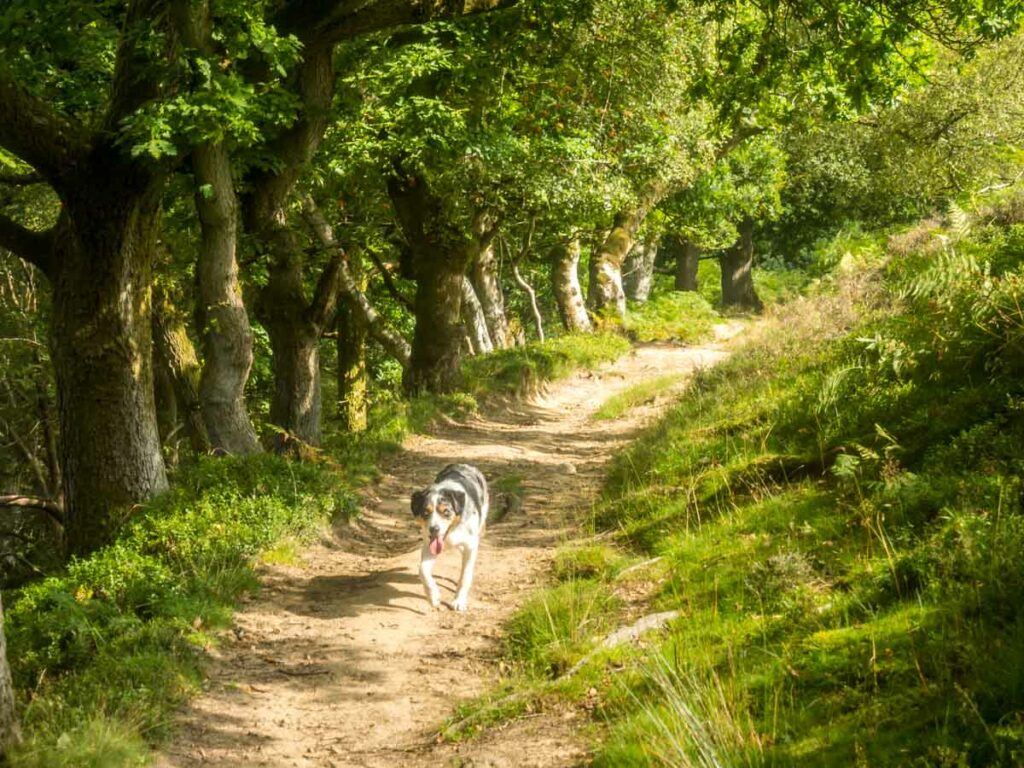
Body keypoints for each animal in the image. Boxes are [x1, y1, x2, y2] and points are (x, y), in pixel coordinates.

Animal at [407, 462, 487, 614]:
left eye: (446, 512)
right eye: (425, 513)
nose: (434, 529)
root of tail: (464, 464)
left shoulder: (471, 545)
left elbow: (465, 574)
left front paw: (459, 601)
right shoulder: (429, 545)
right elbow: (423, 570)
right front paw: (433, 597)